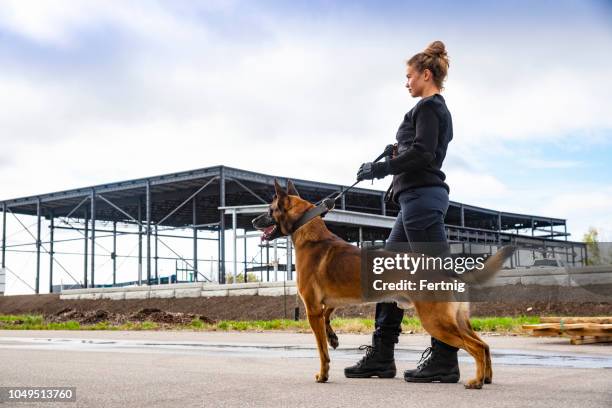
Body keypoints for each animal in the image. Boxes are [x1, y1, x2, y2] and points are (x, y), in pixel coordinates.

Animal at [251, 179, 512, 388]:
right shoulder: (329, 302)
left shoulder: (311, 308)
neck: (309, 230)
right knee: (484, 345)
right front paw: (333, 337)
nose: (253, 220)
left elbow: (321, 349)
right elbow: (328, 318)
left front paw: (323, 374)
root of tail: (447, 271)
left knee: (475, 347)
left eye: (269, 209)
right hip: (457, 321)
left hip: (436, 321)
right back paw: (486, 377)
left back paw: (476, 381)